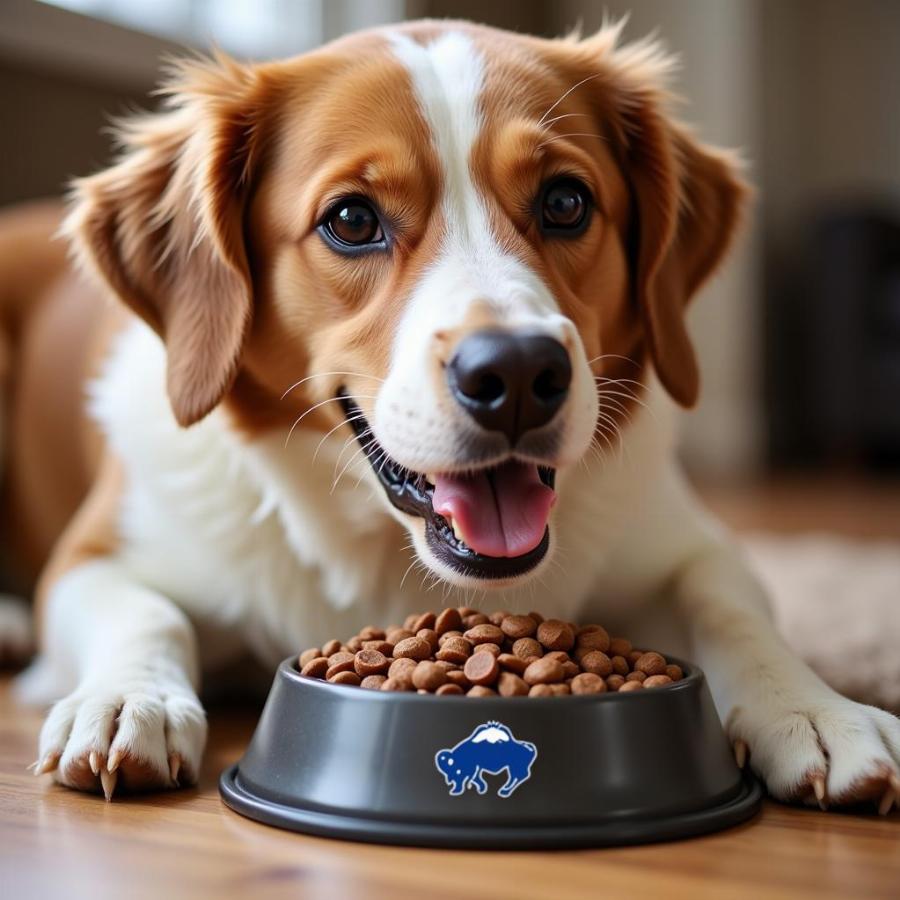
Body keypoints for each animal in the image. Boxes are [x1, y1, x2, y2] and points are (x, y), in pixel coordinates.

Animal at [5, 19, 900, 808]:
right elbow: (146, 615)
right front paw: (130, 700)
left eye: (566, 202)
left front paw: (815, 709)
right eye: (351, 219)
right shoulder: (91, 560)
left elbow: (735, 613)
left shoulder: (694, 547)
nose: (518, 372)